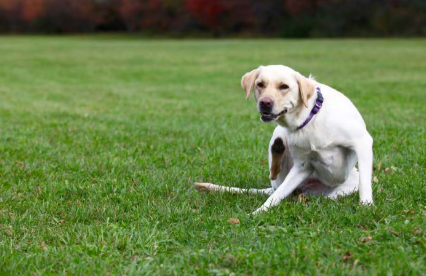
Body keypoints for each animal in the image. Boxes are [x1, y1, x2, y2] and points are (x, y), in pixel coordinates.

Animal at [196, 65, 372, 216]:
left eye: (284, 87)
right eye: (260, 84)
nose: (265, 103)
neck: (310, 118)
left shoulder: (363, 143)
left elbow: (365, 182)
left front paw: (366, 206)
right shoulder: (302, 166)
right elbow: (274, 198)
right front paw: (255, 214)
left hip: (338, 191)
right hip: (281, 157)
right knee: (276, 184)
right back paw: (278, 148)